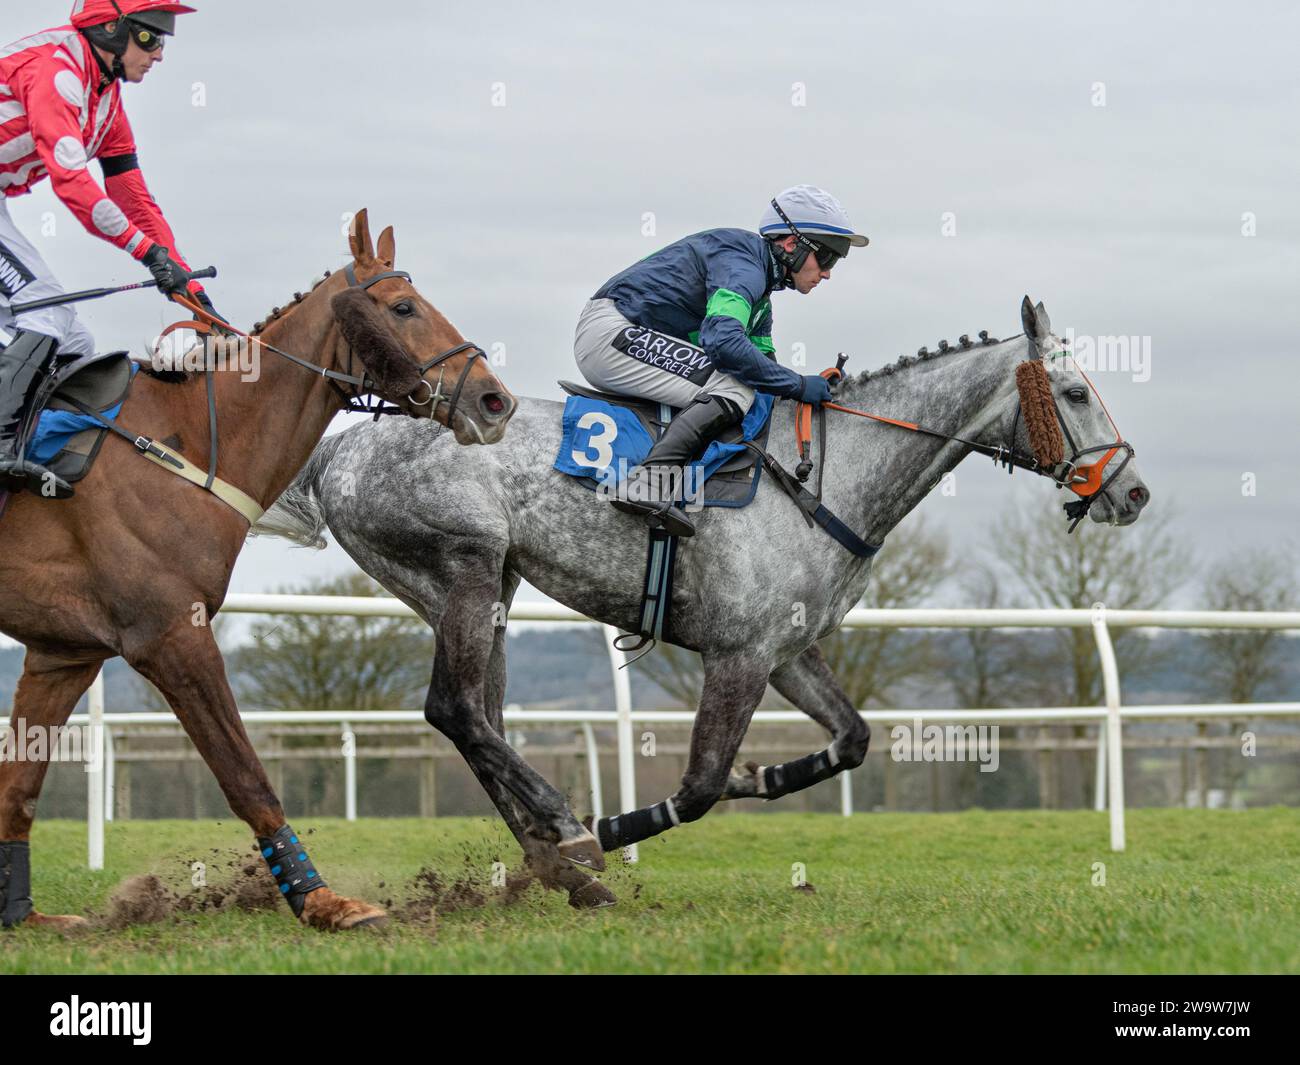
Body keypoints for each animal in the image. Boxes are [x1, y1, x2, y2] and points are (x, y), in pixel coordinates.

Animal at [0, 208, 514, 931]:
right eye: (403, 306)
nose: (496, 401)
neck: (183, 443)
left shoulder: (63, 652)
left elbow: (18, 785)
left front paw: (22, 914)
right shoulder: (171, 635)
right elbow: (246, 775)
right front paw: (320, 899)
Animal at [253, 297, 1149, 910]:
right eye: (1074, 392)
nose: (1132, 491)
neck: (824, 480)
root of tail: (341, 444)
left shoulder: (787, 652)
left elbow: (850, 740)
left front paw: (769, 771)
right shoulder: (738, 656)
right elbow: (698, 786)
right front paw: (612, 828)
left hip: (486, 588)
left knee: (479, 719)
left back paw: (553, 858)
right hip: (465, 567)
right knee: (457, 710)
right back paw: (569, 834)